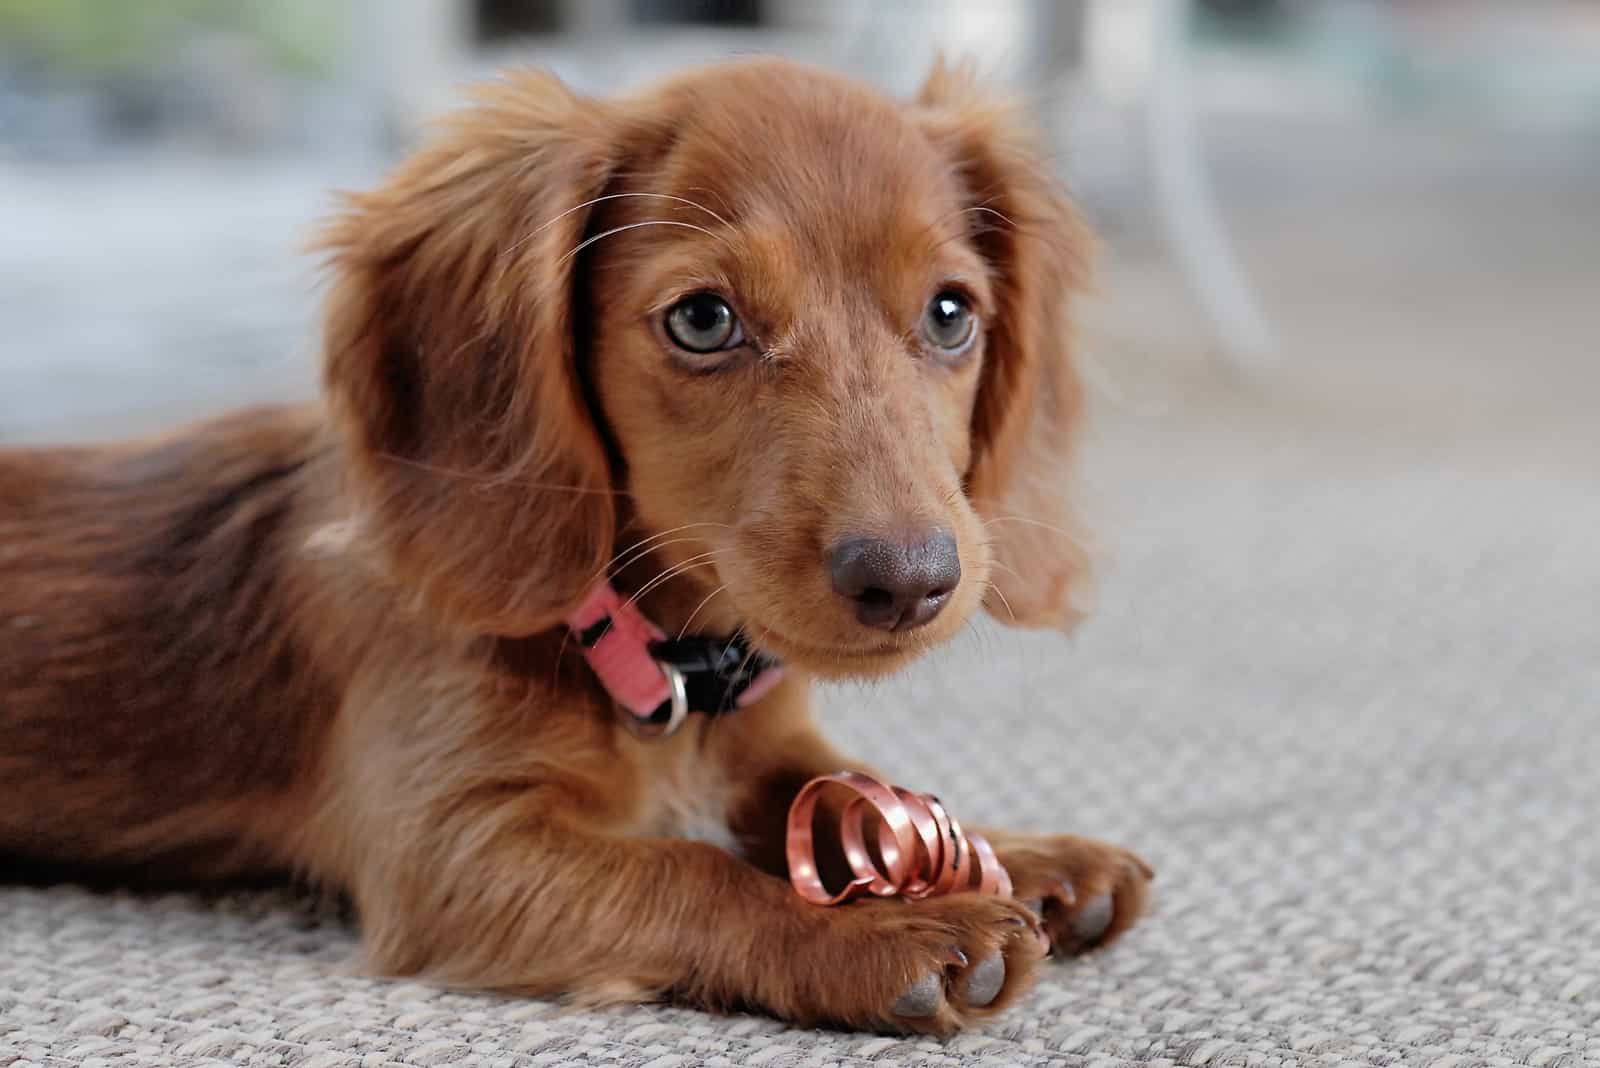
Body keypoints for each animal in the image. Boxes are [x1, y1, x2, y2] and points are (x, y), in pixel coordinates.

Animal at [0, 56, 1152, 1036]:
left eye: (951, 313)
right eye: (702, 320)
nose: (911, 583)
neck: (670, 667)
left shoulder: (767, 742)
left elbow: (850, 784)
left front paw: (1020, 854)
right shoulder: (453, 847)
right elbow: (690, 872)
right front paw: (885, 932)